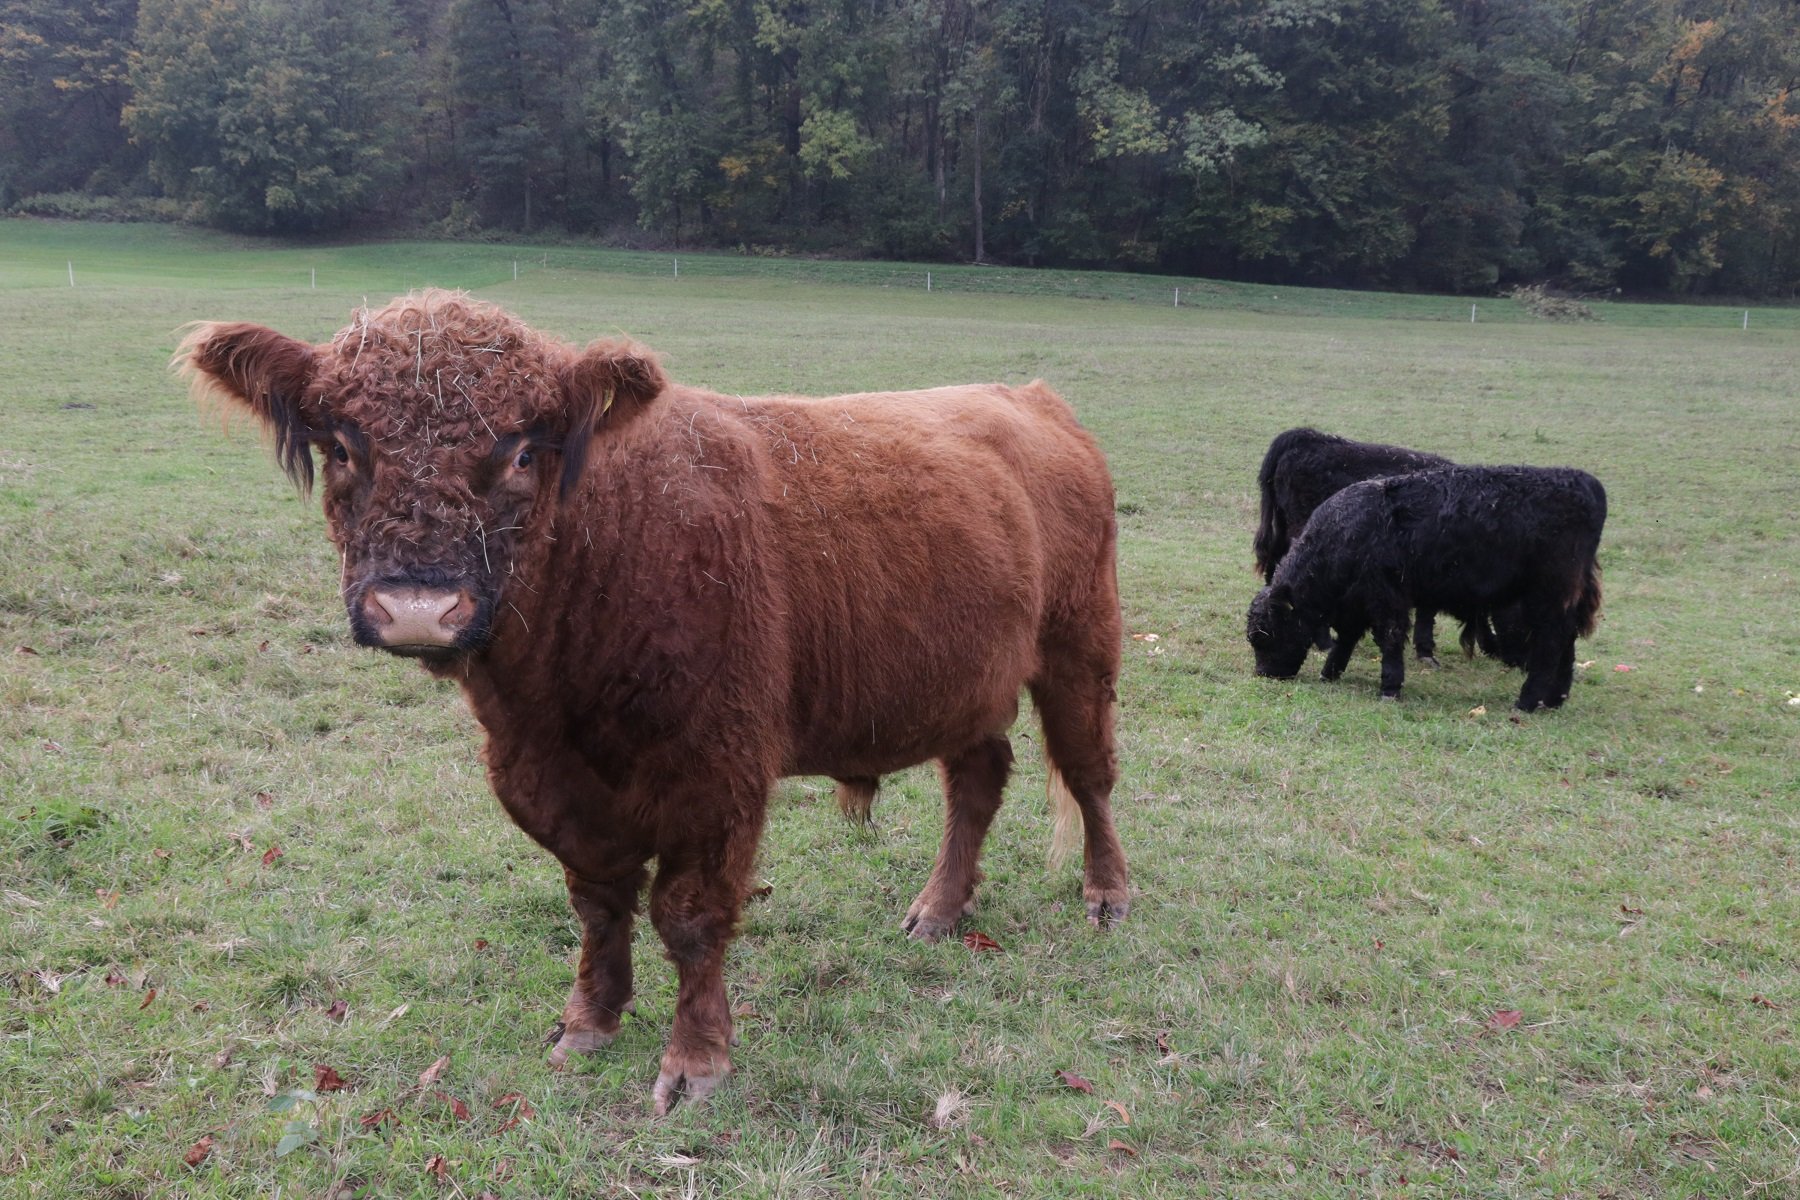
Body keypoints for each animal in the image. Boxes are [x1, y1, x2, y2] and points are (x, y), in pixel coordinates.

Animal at [186, 293, 1137, 1115]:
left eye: (523, 451)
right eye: (344, 447)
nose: (418, 607)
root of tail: (1030, 398)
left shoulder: (718, 777)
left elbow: (688, 917)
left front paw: (697, 1061)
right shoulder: (549, 782)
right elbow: (599, 905)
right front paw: (589, 1024)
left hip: (1080, 645)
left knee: (1088, 773)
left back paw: (1107, 894)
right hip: (964, 681)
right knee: (978, 778)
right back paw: (939, 909)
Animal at [1245, 464, 1612, 712]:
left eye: (1268, 634)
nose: (1265, 674)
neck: (1349, 530)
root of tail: (1584, 482)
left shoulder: (1387, 598)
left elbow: (1389, 639)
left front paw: (1390, 688)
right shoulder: (1357, 602)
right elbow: (1347, 638)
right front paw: (1329, 672)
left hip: (1547, 598)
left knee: (1551, 643)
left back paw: (1527, 700)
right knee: (1567, 642)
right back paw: (1554, 699)